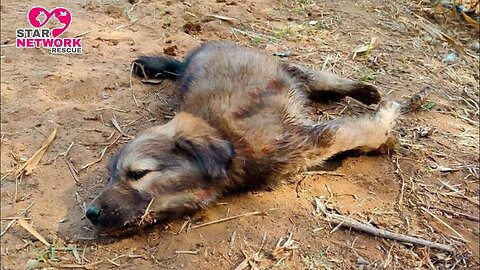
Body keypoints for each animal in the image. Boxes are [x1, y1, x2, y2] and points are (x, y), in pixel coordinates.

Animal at [86, 41, 402, 233]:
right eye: (110, 176)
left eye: (138, 173)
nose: (90, 212)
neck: (227, 139)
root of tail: (195, 54)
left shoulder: (311, 138)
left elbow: (354, 132)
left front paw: (384, 128)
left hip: (284, 68)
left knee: (318, 77)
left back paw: (365, 91)